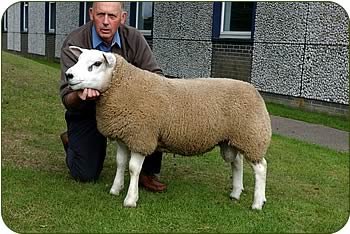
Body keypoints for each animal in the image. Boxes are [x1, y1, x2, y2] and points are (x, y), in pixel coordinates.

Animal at [66, 44, 274, 209]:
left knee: (261, 168)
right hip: (232, 138)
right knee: (236, 162)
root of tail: (253, 89)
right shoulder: (125, 136)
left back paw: (257, 203)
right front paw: (115, 189)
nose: (68, 75)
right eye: (79, 60)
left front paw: (130, 199)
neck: (123, 86)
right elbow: (121, 163)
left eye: (96, 64)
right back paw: (235, 193)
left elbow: (133, 168)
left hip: (252, 136)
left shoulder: (141, 137)